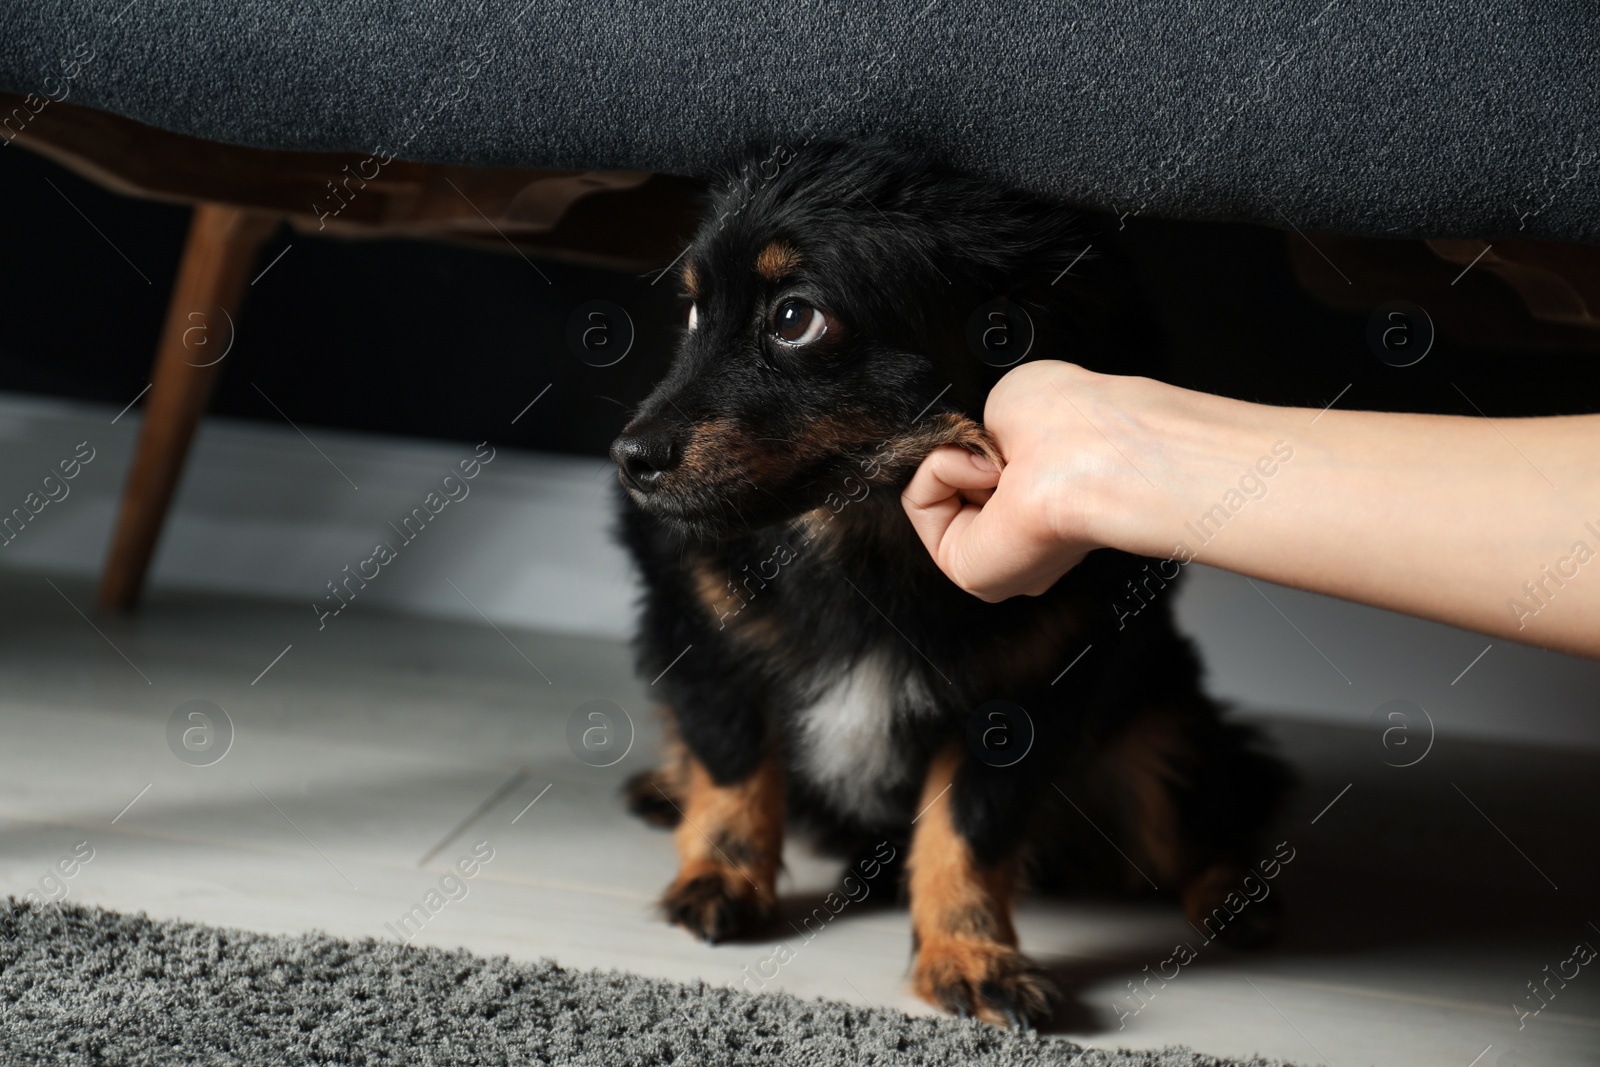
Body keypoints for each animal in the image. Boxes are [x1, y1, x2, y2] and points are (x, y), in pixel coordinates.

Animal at [604, 141, 1292, 1023]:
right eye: (692, 313)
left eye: (794, 320)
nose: (630, 459)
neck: (864, 546)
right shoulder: (697, 631)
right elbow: (732, 762)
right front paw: (721, 877)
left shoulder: (1030, 693)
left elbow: (968, 827)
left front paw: (969, 953)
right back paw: (667, 784)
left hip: (1159, 727)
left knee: (1204, 813)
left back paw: (1236, 895)